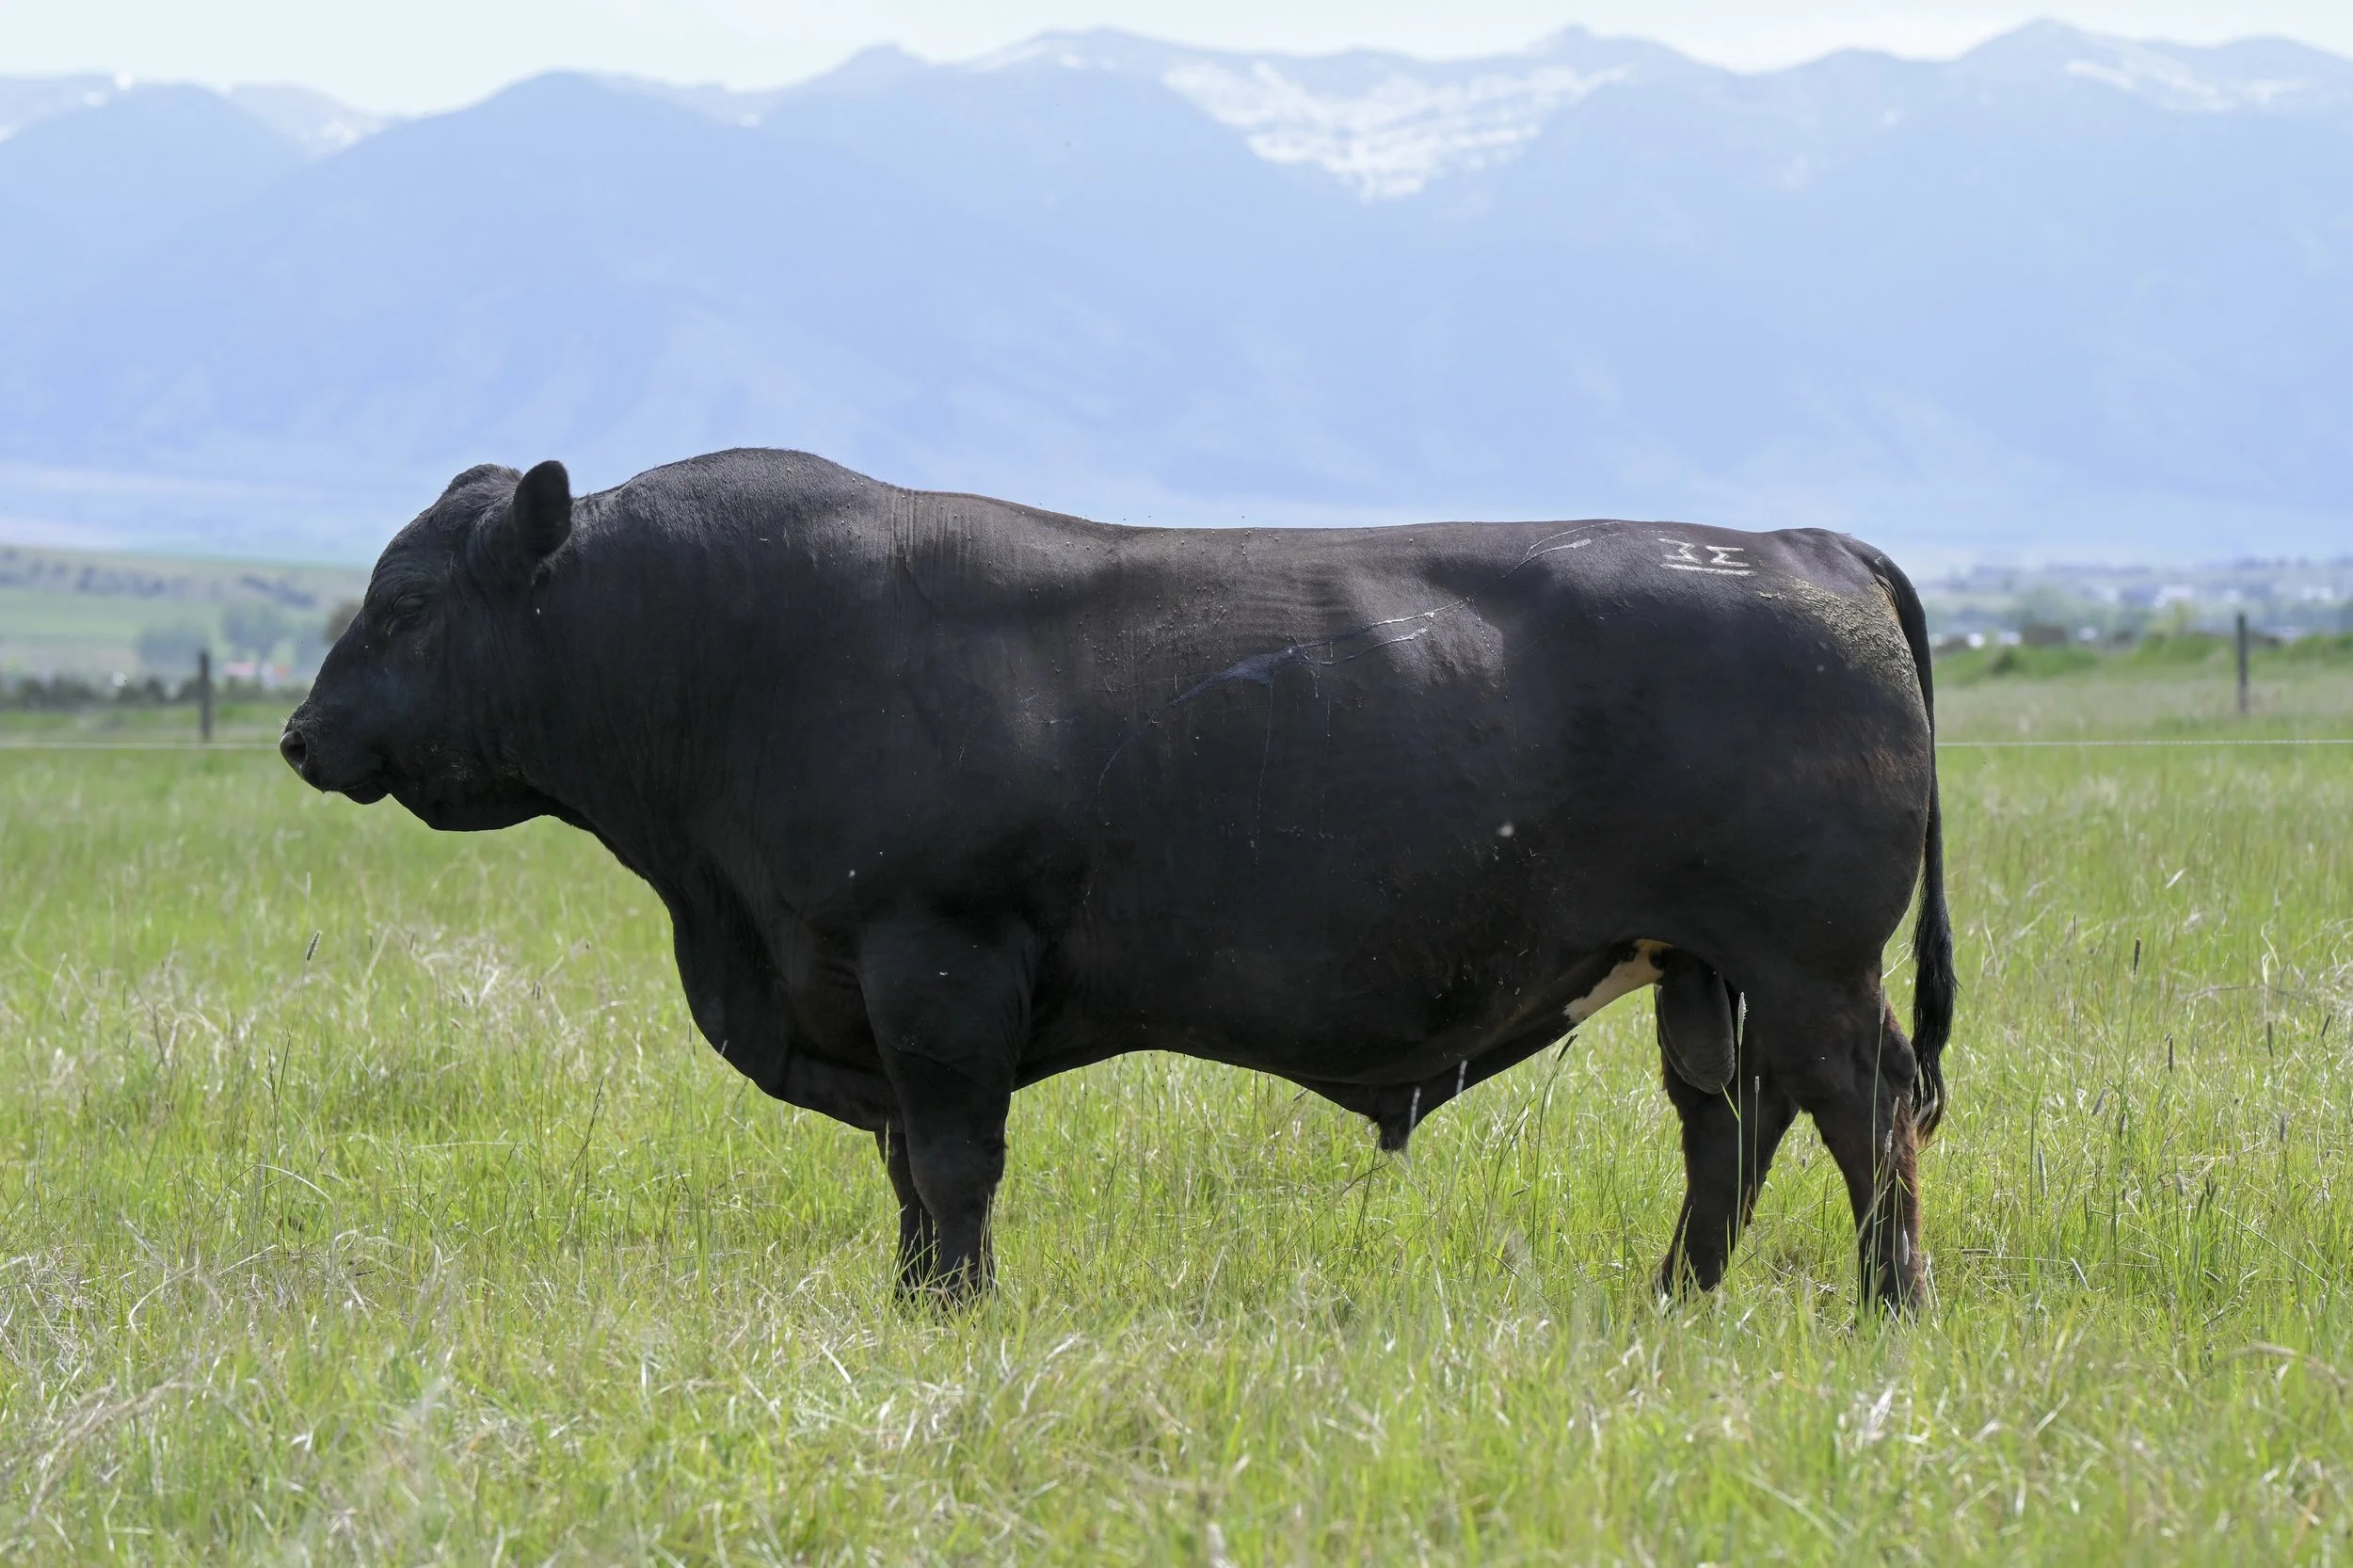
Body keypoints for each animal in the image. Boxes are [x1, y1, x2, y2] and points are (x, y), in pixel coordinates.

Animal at [281, 449, 1955, 1308]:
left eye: (408, 601)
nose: (301, 733)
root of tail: (1798, 541)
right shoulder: (869, 996)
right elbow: (906, 1173)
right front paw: (914, 1306)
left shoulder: (934, 961)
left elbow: (954, 1160)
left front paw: (958, 1312)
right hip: (1706, 964)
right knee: (1731, 1124)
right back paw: (1679, 1294)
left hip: (1808, 960)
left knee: (1866, 1113)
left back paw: (1890, 1305)